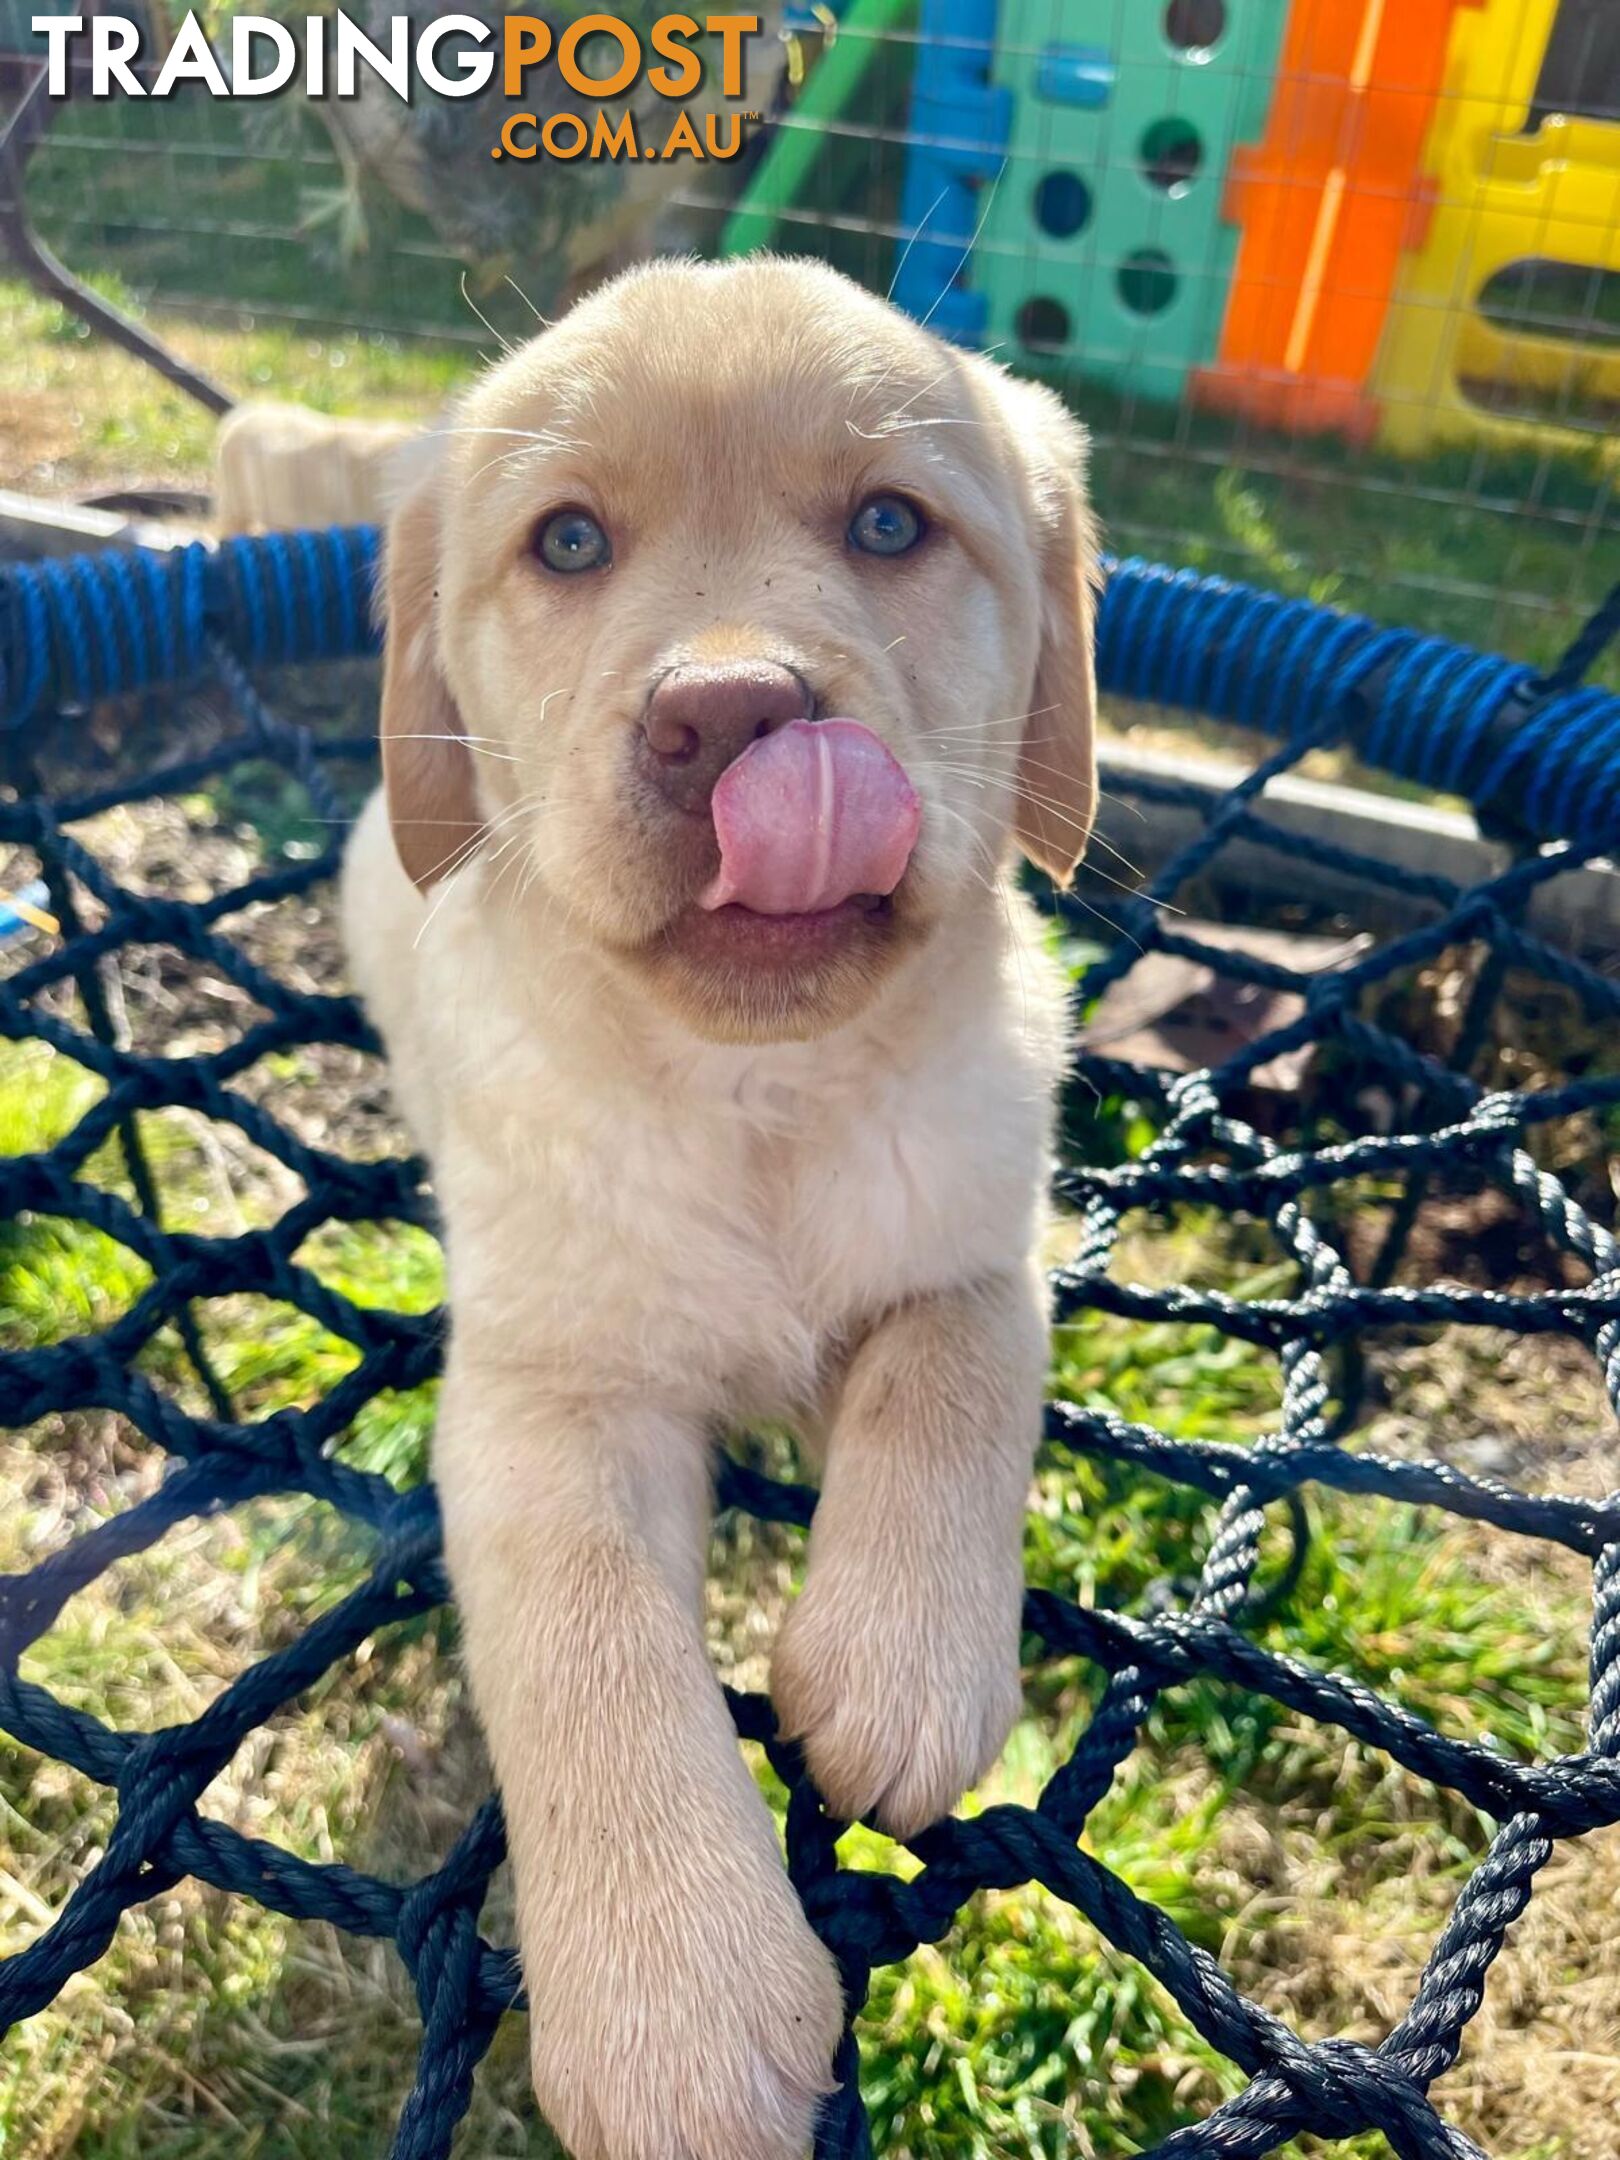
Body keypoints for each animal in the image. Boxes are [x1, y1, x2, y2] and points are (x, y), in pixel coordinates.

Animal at [343, 257, 1105, 2160]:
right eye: (567, 543)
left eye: (892, 523)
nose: (736, 716)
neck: (758, 1097)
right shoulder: (544, 1394)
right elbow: (586, 1635)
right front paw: (671, 2002)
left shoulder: (987, 1244)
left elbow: (955, 1372)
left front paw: (900, 1668)